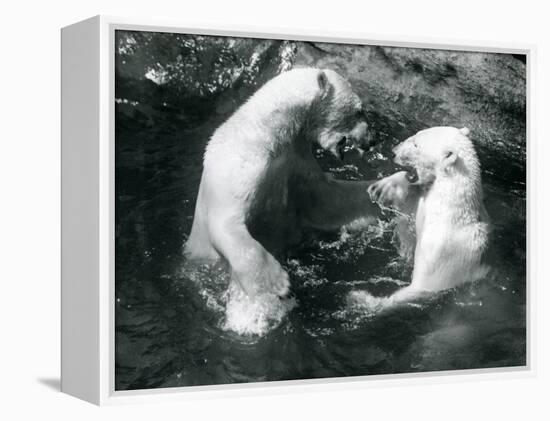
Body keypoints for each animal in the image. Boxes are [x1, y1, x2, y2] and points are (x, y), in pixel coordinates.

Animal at [185, 67, 384, 298]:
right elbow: (225, 223)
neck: (267, 133)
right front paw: (277, 282)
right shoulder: (240, 168)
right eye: (359, 111)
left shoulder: (295, 159)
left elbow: (326, 199)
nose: (373, 138)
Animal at [370, 126, 492, 300]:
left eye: (416, 144)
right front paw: (382, 187)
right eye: (415, 135)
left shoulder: (441, 254)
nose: (393, 151)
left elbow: (423, 286)